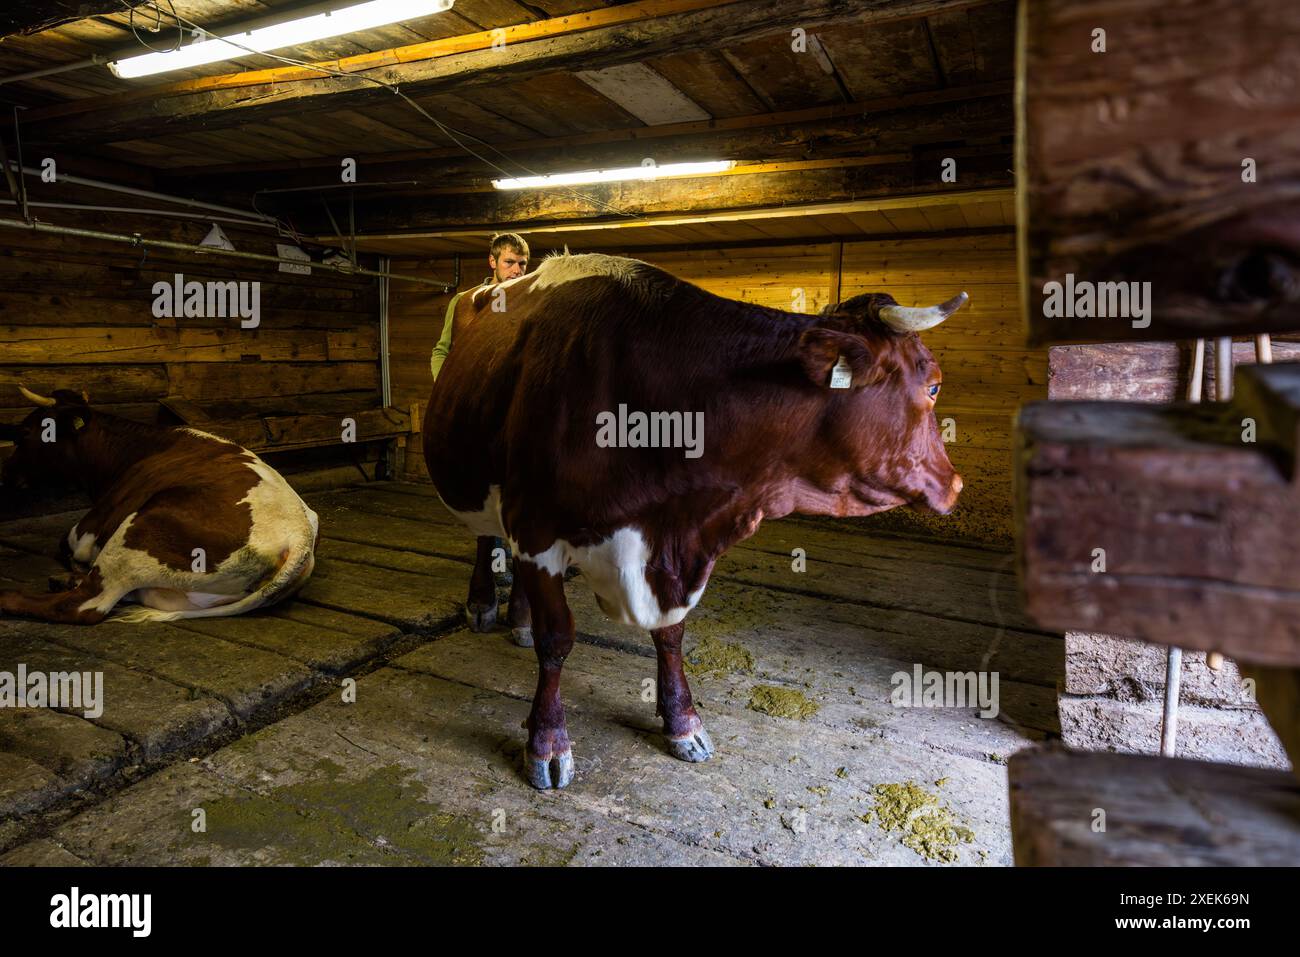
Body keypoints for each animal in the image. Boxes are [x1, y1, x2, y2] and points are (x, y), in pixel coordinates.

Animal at [1, 384, 317, 624]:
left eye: (24, 433)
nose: (6, 475)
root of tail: (298, 539)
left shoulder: (89, 528)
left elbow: (66, 545)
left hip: (137, 533)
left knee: (83, 606)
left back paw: (13, 596)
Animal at [426, 250, 967, 790]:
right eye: (934, 386)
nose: (955, 483)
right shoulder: (537, 526)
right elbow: (556, 638)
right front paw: (547, 742)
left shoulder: (672, 548)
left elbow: (671, 634)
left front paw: (682, 722)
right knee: (486, 538)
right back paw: (484, 605)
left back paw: (518, 618)